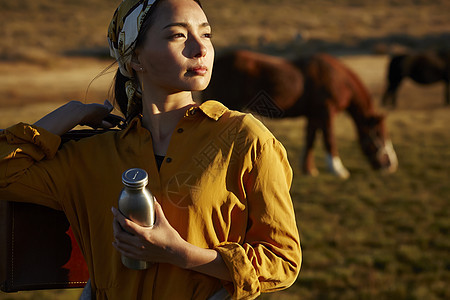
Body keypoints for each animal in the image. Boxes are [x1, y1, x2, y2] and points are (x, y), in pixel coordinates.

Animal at [203, 49, 398, 178]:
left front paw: (309, 169)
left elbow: (310, 140)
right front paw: (338, 169)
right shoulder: (326, 113)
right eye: (379, 134)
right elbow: (329, 139)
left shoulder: (314, 116)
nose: (391, 164)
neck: (336, 78)